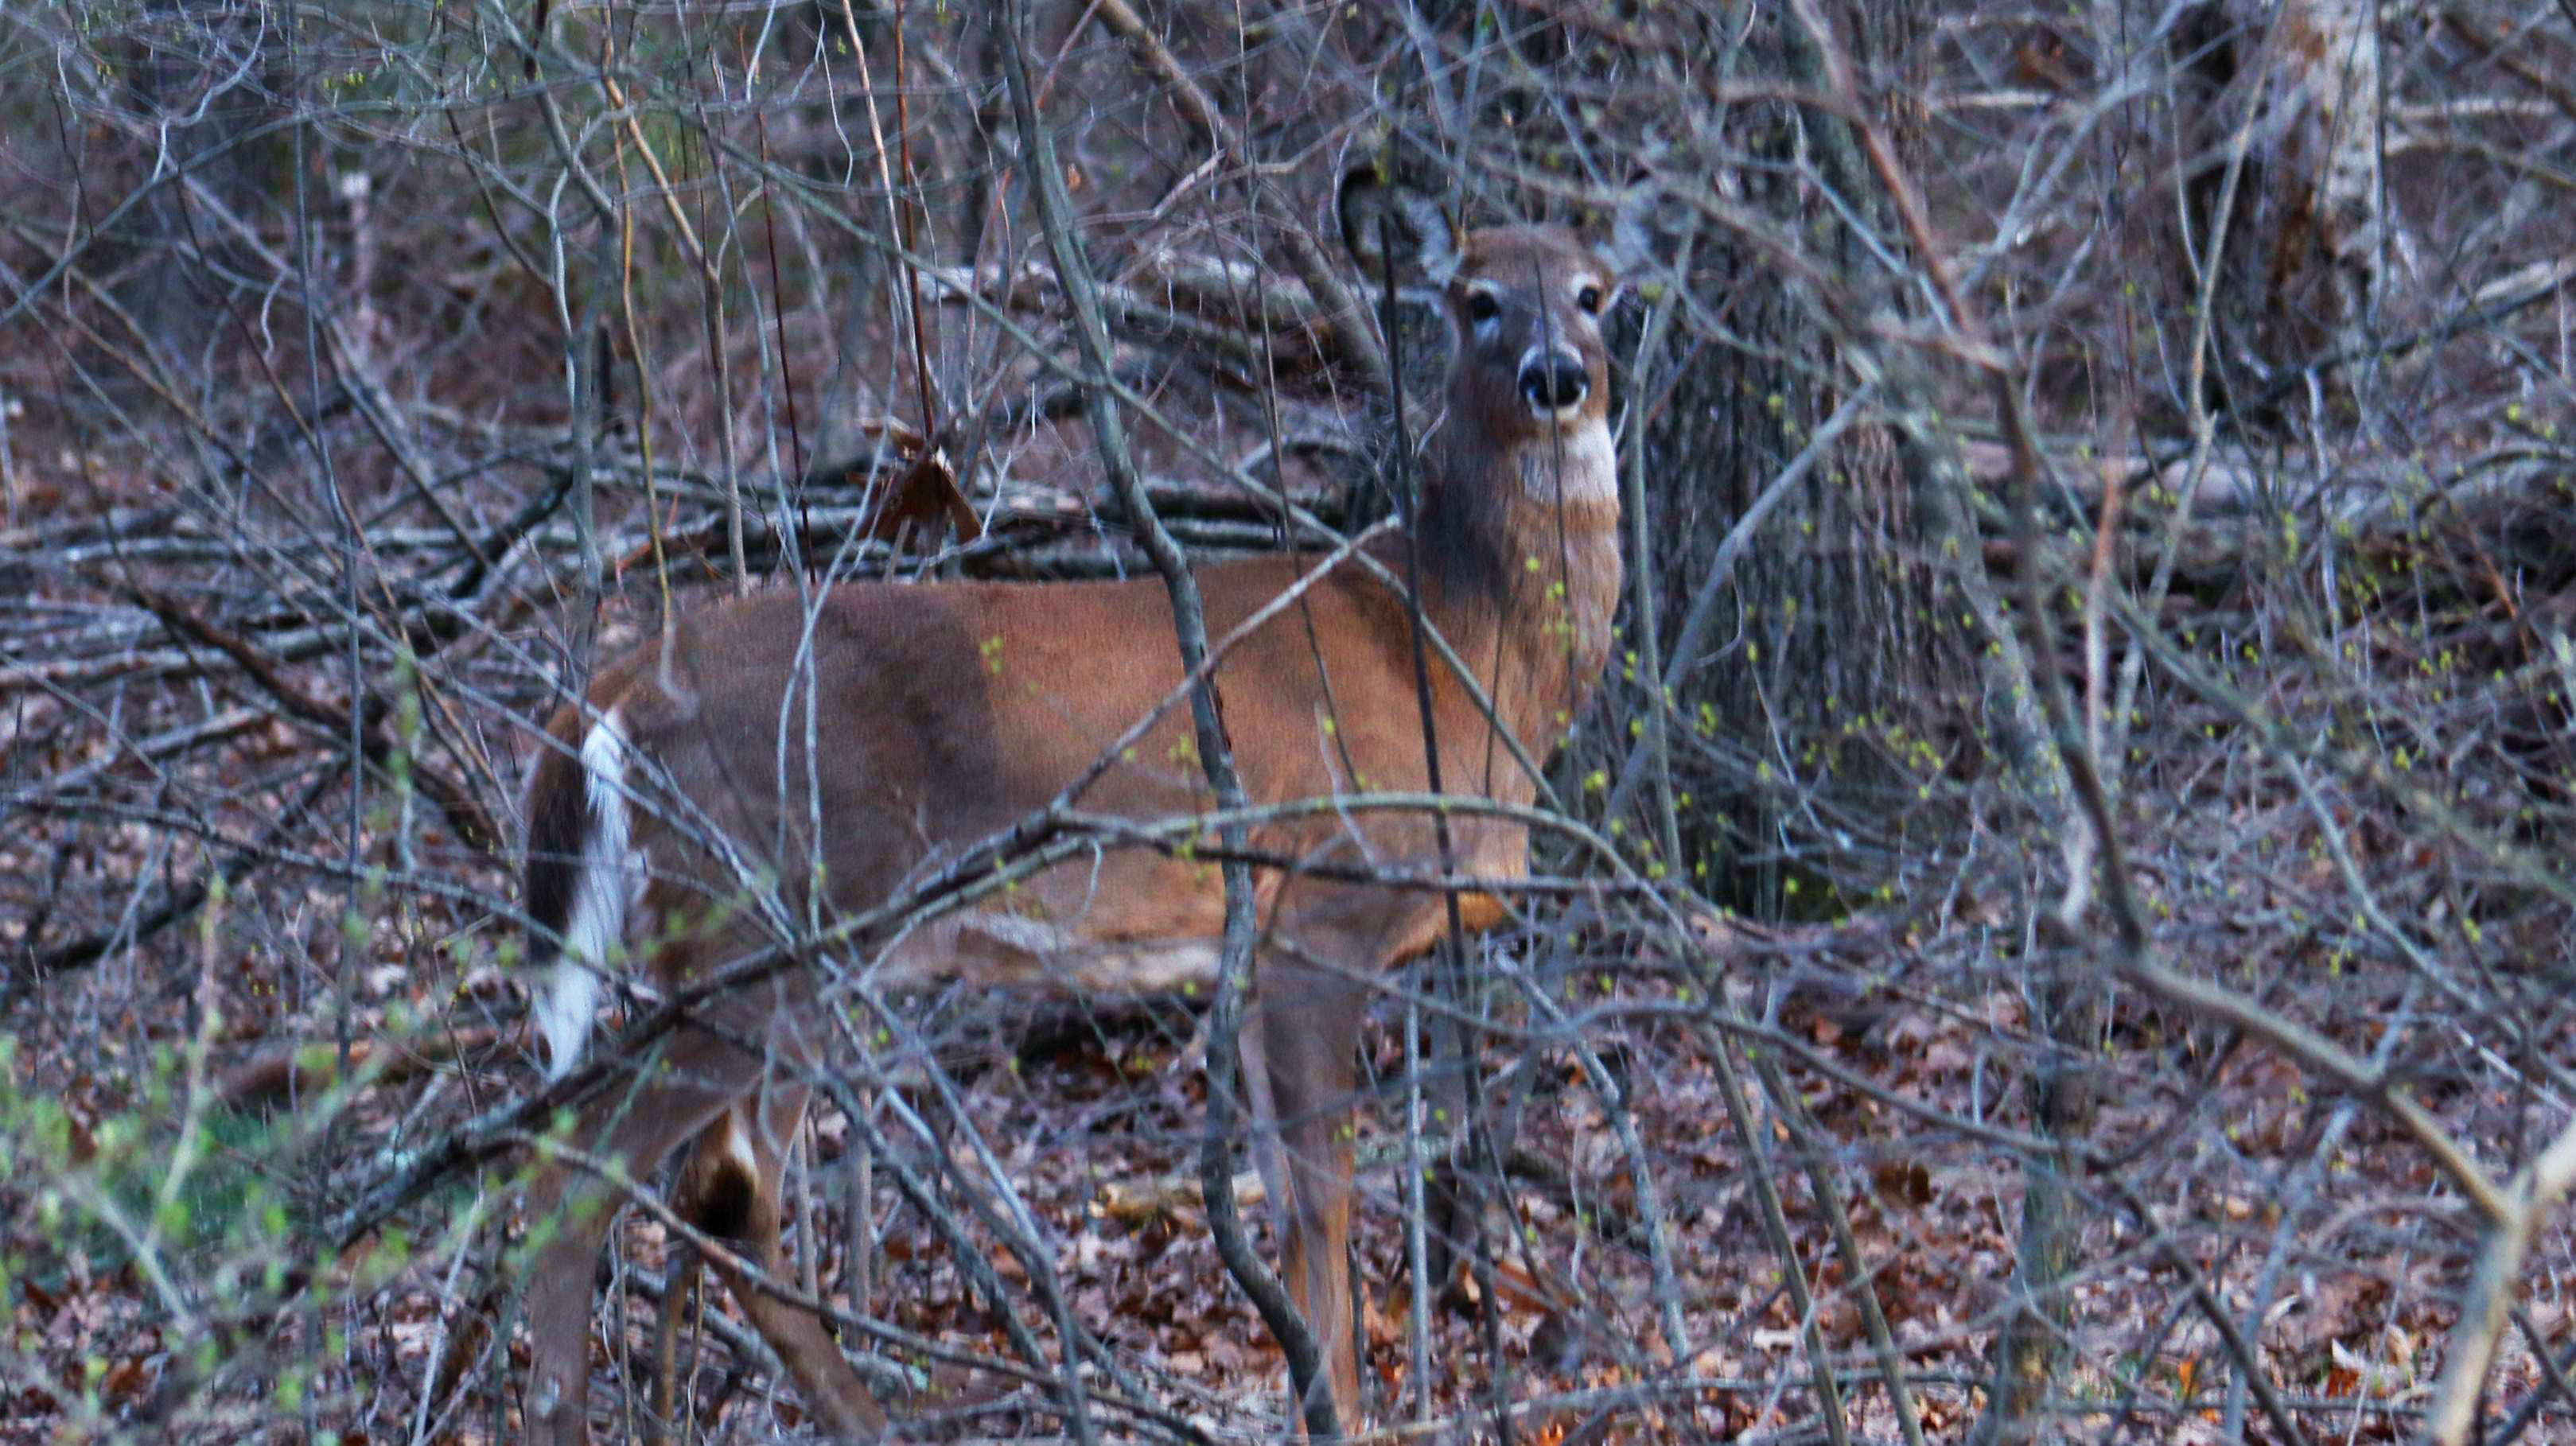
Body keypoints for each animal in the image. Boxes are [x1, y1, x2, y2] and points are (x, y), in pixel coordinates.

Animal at [512, 169, 1644, 1441]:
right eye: (1476, 299)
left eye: (1595, 292)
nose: (1556, 374)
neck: (1450, 649)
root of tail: (606, 692)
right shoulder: (1323, 910)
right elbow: (1324, 1202)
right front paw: (1337, 1412)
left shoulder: (1257, 954)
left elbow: (1284, 1207)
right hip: (761, 919)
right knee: (598, 1167)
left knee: (708, 1184)